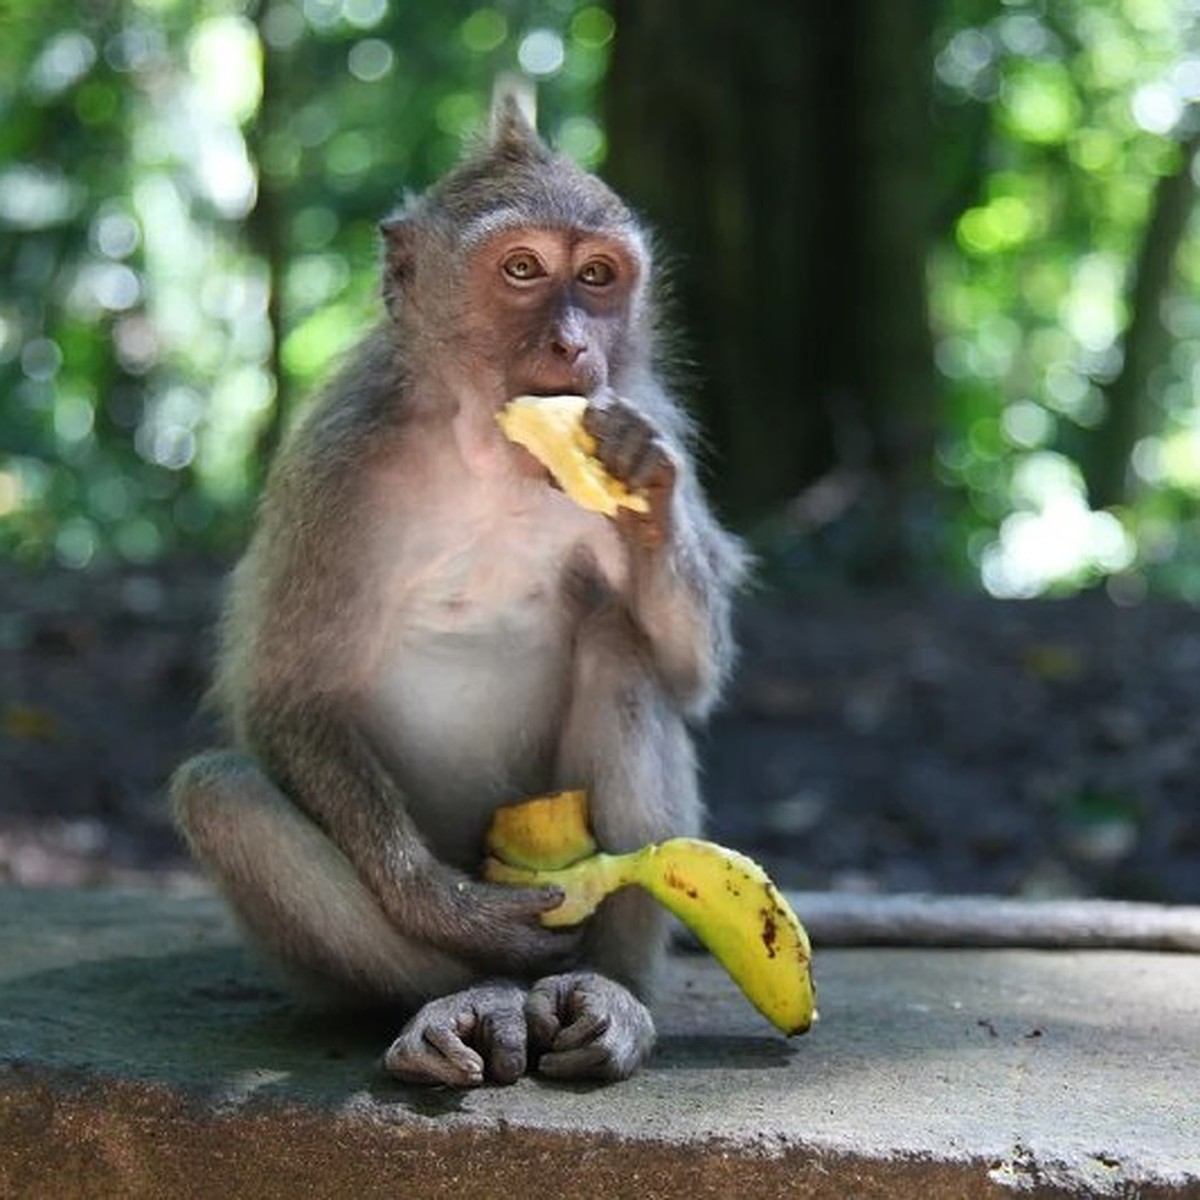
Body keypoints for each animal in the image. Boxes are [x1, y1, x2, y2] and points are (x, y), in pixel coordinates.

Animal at [169, 96, 748, 1089]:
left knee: (620, 647)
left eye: (598, 275)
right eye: (522, 269)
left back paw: (609, 992)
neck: (492, 456)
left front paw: (643, 484)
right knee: (222, 793)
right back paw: (467, 995)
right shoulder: (336, 463)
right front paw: (446, 908)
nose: (574, 343)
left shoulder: (655, 411)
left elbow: (690, 673)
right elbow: (289, 698)